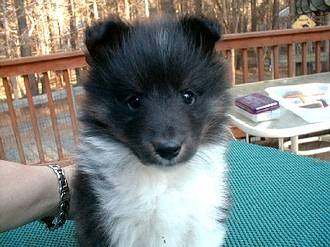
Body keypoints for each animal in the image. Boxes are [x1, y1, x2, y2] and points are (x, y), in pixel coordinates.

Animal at [74, 14, 231, 247]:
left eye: (188, 96)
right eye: (134, 100)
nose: (168, 149)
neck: (163, 179)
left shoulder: (203, 223)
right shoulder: (114, 225)